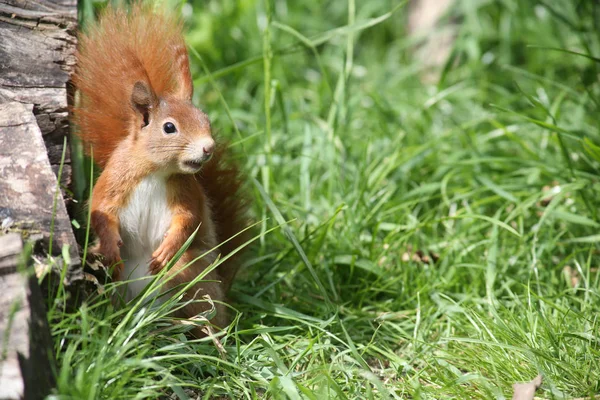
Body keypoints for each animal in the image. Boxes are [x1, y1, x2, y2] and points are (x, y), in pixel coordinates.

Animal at [71, 3, 248, 334]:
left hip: (193, 274)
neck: (155, 172)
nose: (208, 147)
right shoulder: (114, 179)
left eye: (206, 119)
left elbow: (188, 219)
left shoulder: (186, 191)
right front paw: (111, 247)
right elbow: (100, 210)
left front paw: (167, 248)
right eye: (169, 127)